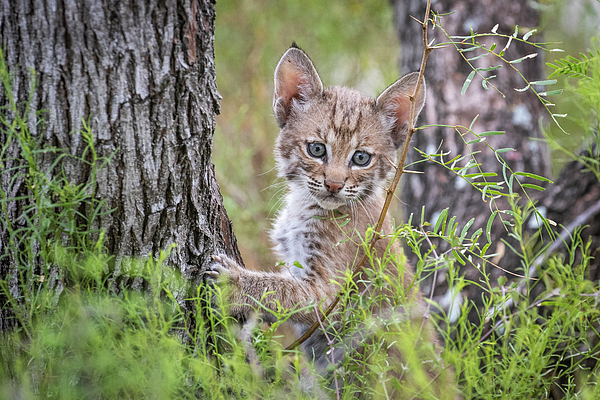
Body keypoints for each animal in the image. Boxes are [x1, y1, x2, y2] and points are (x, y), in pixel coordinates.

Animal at [209, 46, 458, 396]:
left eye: (361, 158)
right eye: (316, 149)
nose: (334, 185)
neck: (306, 204)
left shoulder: (332, 295)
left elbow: (283, 292)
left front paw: (234, 284)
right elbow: (285, 286)